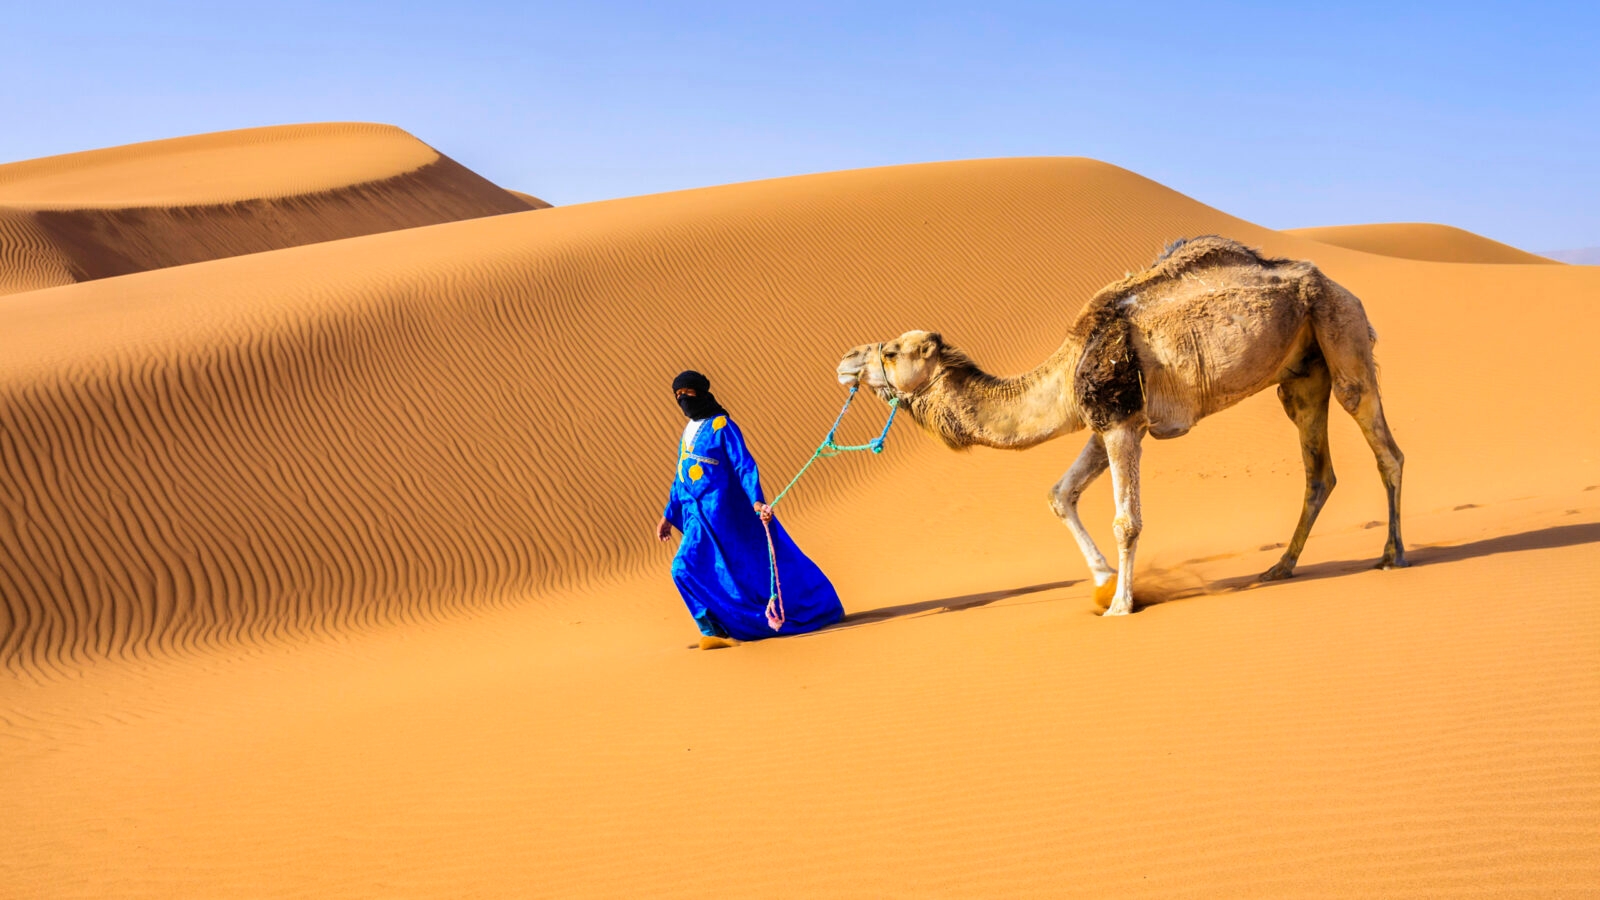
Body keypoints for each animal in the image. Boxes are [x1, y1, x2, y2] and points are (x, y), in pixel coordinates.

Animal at [836, 236, 1406, 616]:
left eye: (892, 351)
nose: (844, 360)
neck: (1066, 371)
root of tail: (1339, 287)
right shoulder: (1102, 423)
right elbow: (1059, 493)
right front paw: (1104, 579)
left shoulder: (1121, 422)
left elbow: (1126, 521)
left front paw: (1120, 604)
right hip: (1302, 375)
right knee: (1319, 471)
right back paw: (1281, 567)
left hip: (1341, 328)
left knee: (1383, 444)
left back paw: (1392, 555)